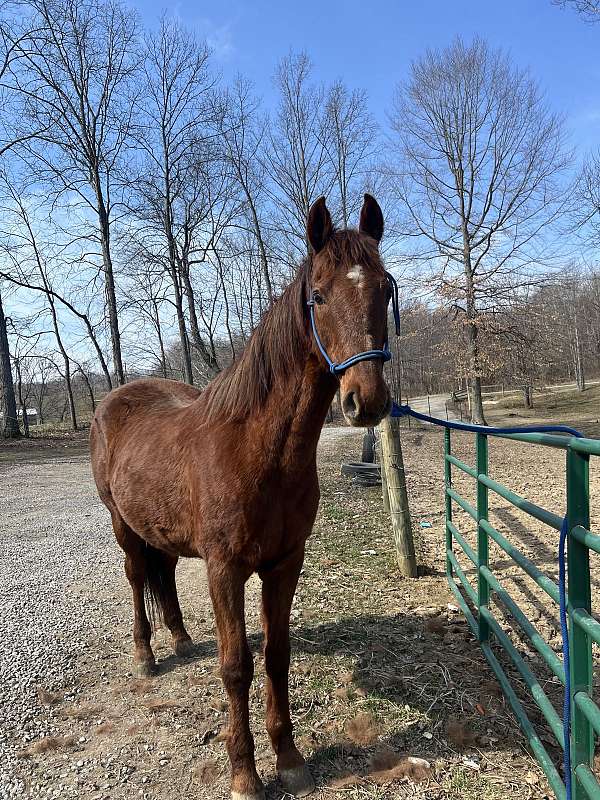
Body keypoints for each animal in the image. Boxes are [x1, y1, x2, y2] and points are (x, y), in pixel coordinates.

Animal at [88, 195, 390, 800]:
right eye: (318, 296)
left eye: (386, 289)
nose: (364, 401)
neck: (257, 452)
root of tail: (114, 400)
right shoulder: (225, 569)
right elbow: (236, 667)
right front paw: (245, 774)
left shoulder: (285, 563)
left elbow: (276, 655)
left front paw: (290, 758)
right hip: (123, 527)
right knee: (136, 579)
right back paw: (146, 654)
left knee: (164, 575)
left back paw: (180, 638)